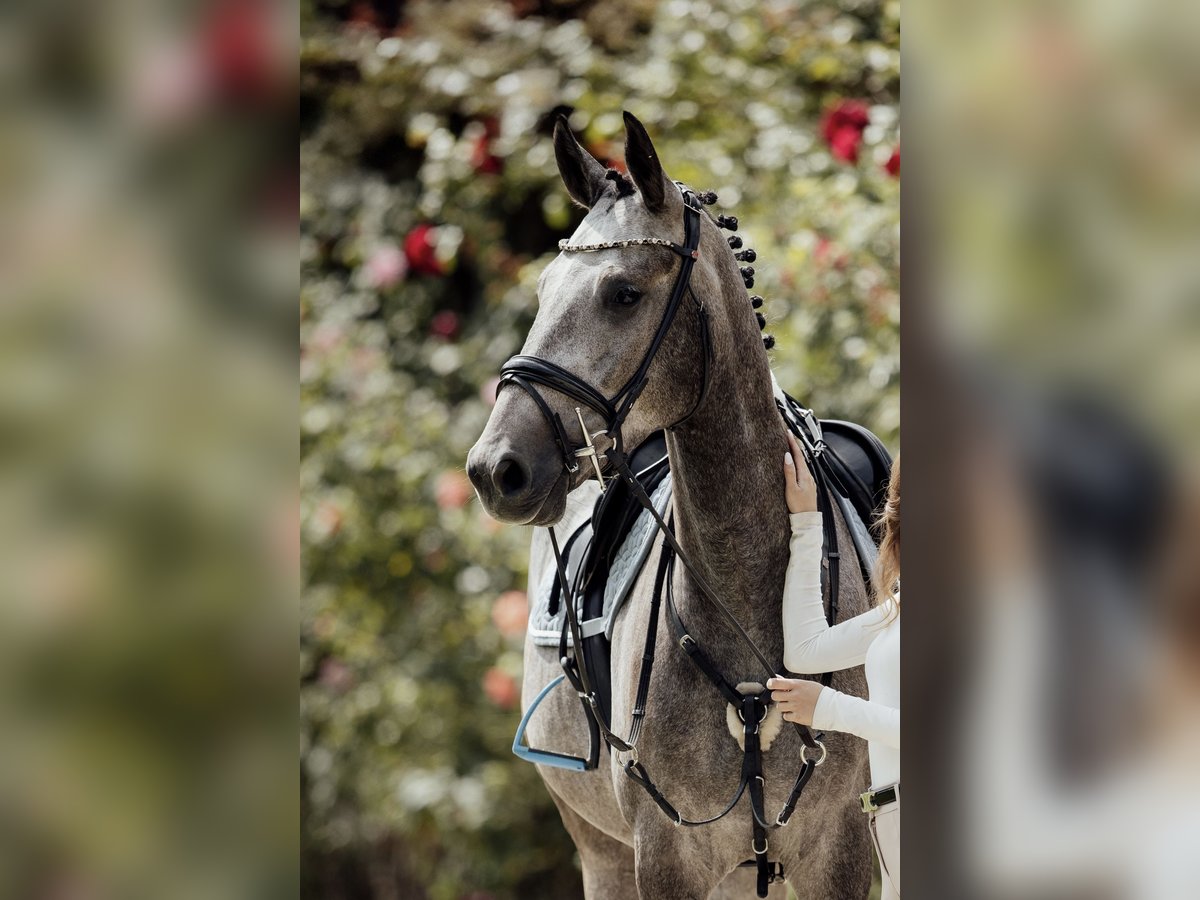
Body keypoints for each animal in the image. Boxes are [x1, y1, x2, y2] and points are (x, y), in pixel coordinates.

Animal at [466, 112, 873, 900]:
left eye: (623, 293)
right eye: (544, 287)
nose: (494, 469)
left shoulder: (839, 855)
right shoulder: (665, 859)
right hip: (601, 851)